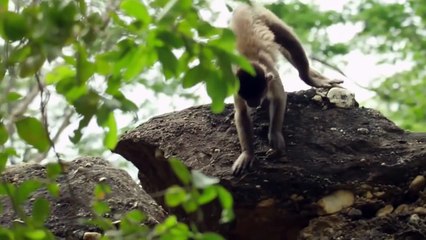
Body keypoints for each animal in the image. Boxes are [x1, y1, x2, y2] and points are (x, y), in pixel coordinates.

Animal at [230, 4, 342, 176]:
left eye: (258, 93)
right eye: (247, 96)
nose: (253, 103)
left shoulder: (271, 76)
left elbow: (279, 98)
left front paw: (274, 135)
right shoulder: (236, 86)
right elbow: (241, 113)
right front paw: (247, 153)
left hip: (267, 15)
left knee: (290, 41)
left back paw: (310, 77)